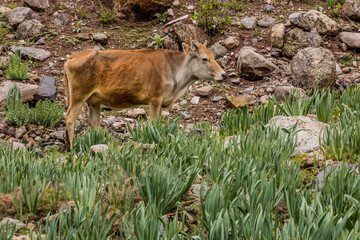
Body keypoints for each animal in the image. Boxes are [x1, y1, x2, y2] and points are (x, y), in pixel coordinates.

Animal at [63, 41, 226, 148]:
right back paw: (73, 149)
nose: (223, 74)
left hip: (94, 101)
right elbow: (153, 123)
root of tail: (71, 58)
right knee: (70, 118)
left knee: (94, 121)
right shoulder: (154, 99)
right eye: (204, 58)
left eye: (213, 56)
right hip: (78, 96)